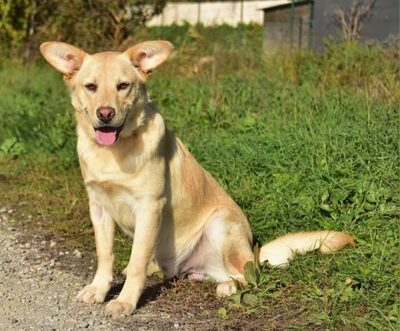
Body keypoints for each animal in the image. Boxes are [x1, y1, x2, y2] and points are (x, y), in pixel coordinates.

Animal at [40, 40, 354, 318]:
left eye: (123, 86)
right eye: (90, 87)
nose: (105, 114)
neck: (114, 151)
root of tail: (253, 251)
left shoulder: (149, 206)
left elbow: (138, 259)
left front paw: (125, 301)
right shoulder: (99, 207)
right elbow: (105, 255)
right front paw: (99, 289)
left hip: (220, 224)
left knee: (246, 275)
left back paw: (229, 286)